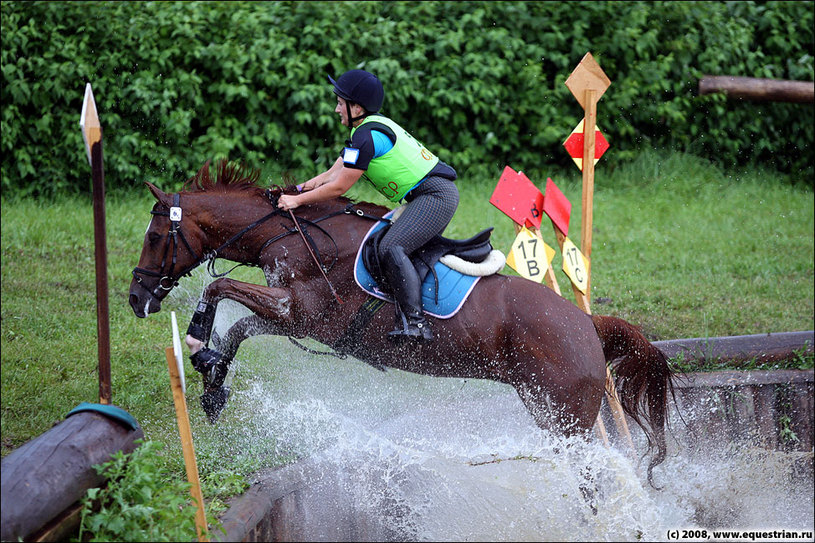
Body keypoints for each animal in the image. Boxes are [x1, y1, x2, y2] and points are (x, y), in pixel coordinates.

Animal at [127, 159, 676, 486]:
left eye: (153, 236)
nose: (136, 299)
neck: (291, 232)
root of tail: (588, 324)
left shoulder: (300, 308)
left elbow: (217, 291)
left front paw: (197, 343)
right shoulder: (299, 318)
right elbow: (239, 328)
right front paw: (212, 381)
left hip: (563, 418)